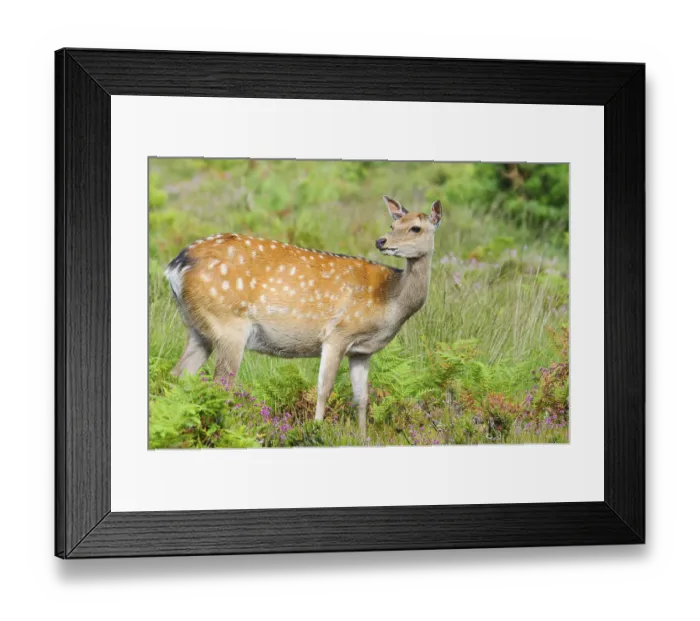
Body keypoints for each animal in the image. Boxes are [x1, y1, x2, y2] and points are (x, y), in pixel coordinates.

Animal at [165, 196, 443, 438]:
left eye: (415, 228)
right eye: (393, 225)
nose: (381, 241)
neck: (390, 299)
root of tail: (174, 266)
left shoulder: (362, 351)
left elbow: (362, 398)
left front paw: (363, 437)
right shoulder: (337, 333)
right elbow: (323, 388)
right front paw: (316, 429)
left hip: (197, 328)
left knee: (179, 374)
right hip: (228, 324)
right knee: (220, 384)